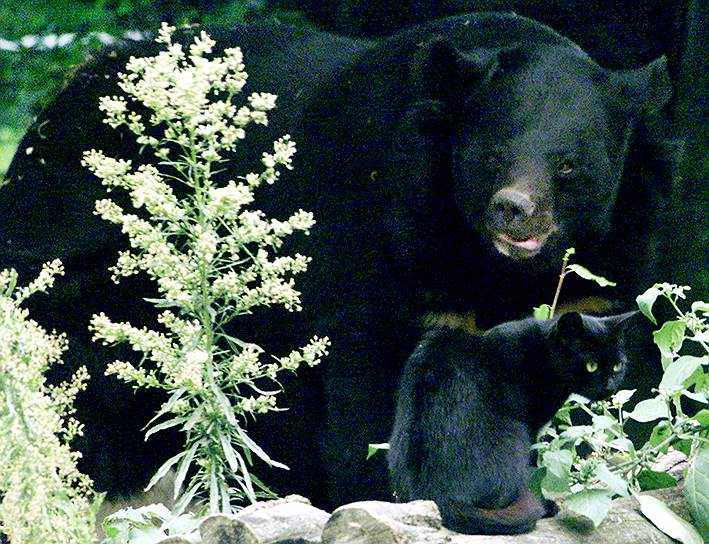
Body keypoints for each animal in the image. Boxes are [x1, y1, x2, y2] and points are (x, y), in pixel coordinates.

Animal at [0, 12, 672, 508]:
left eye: (569, 165)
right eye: (491, 155)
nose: (514, 211)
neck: (490, 264)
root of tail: (51, 111)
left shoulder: (605, 267)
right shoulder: (390, 252)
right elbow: (371, 397)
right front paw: (389, 493)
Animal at [388, 312, 636, 532]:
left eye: (617, 365)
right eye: (591, 365)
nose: (610, 386)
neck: (541, 354)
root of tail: (436, 495)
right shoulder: (531, 427)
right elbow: (534, 468)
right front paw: (546, 503)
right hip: (516, 435)